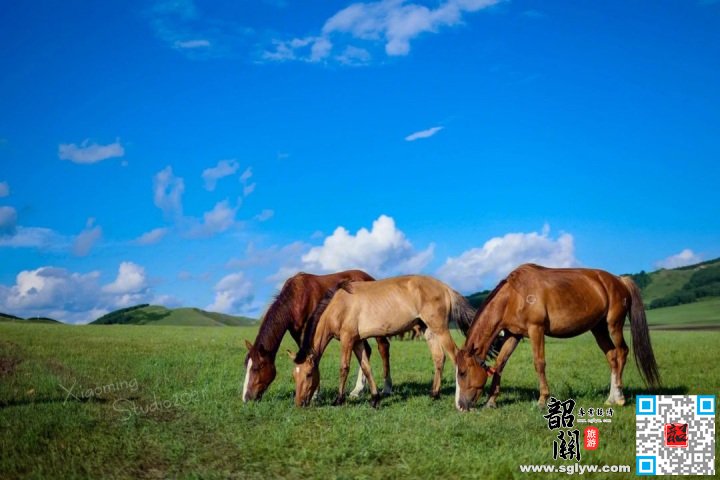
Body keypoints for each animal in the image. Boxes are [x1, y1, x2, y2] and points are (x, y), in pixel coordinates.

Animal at [242, 270, 392, 402]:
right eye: (246, 366)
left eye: (257, 368)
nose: (246, 398)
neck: (297, 298)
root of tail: (370, 278)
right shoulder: (298, 334)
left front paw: (314, 394)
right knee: (367, 350)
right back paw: (357, 390)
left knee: (383, 347)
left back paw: (387, 388)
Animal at [290, 275, 476, 407]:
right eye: (294, 375)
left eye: (308, 374)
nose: (299, 403)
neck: (339, 305)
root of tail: (445, 288)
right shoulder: (357, 342)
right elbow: (366, 368)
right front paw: (375, 399)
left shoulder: (347, 339)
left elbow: (344, 368)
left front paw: (339, 399)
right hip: (428, 330)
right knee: (439, 358)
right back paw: (434, 394)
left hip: (440, 329)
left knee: (456, 357)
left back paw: (458, 401)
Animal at [454, 263, 661, 411]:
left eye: (463, 372)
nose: (460, 406)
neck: (514, 296)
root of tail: (620, 280)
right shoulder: (514, 335)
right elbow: (499, 364)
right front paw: (491, 401)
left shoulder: (536, 330)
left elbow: (539, 363)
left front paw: (542, 400)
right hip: (599, 329)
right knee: (612, 357)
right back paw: (610, 398)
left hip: (614, 324)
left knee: (622, 352)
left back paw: (620, 397)